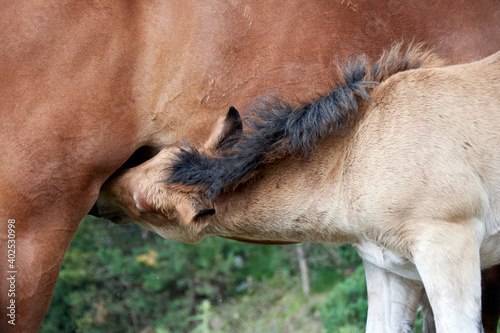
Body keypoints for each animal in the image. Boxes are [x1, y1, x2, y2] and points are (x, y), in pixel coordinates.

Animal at [0, 1, 500, 330]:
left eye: (148, 208)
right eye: (158, 155)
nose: (102, 196)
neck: (361, 149)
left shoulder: (445, 255)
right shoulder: (392, 270)